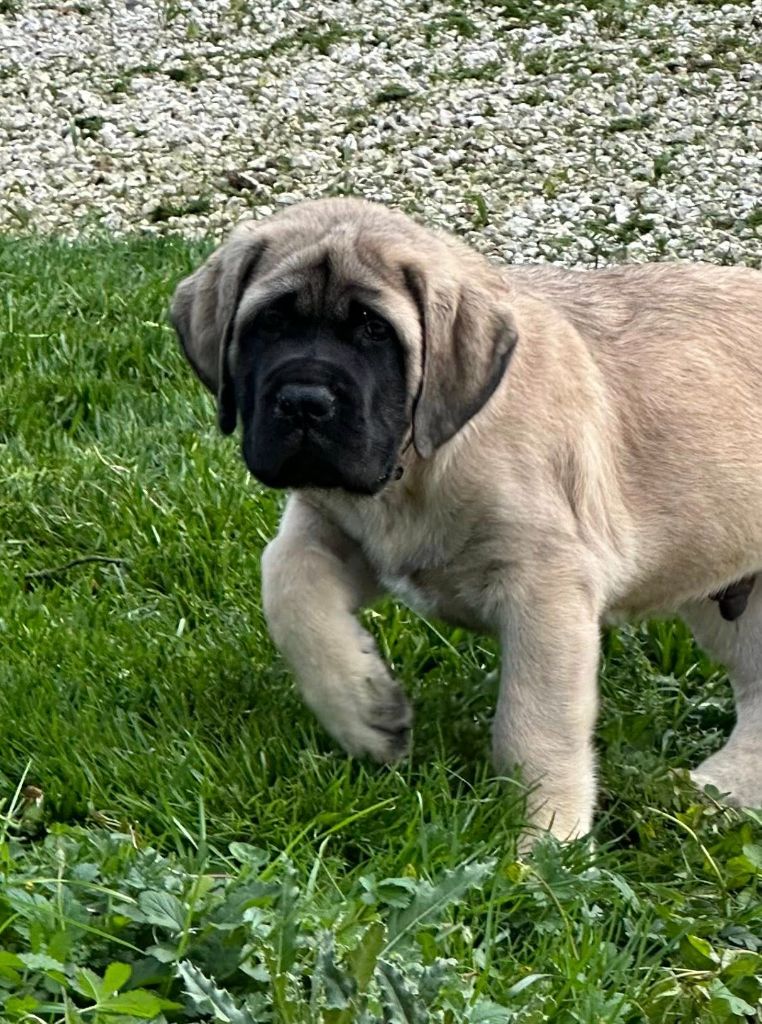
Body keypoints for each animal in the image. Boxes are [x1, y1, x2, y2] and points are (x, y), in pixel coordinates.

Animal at [171, 197, 762, 845]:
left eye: (374, 331)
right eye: (269, 325)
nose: (304, 402)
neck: (418, 465)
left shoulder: (546, 589)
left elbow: (534, 723)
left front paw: (546, 841)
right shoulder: (333, 529)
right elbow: (288, 587)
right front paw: (366, 712)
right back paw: (715, 795)